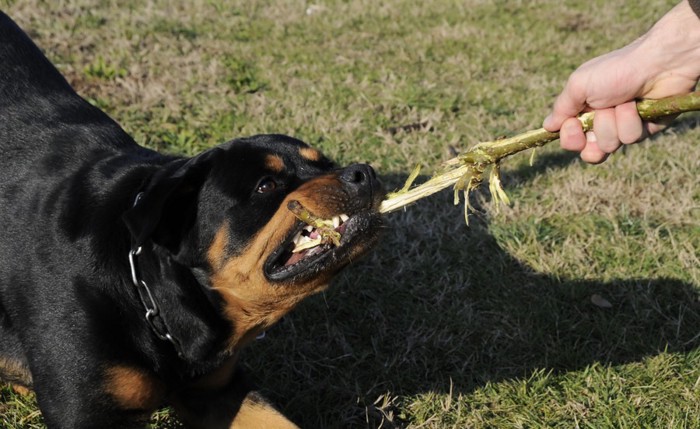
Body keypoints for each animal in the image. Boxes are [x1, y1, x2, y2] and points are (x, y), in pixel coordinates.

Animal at [0, 11, 382, 426]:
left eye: (325, 164)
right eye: (266, 185)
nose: (363, 173)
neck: (142, 289)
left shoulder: (218, 390)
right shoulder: (85, 414)